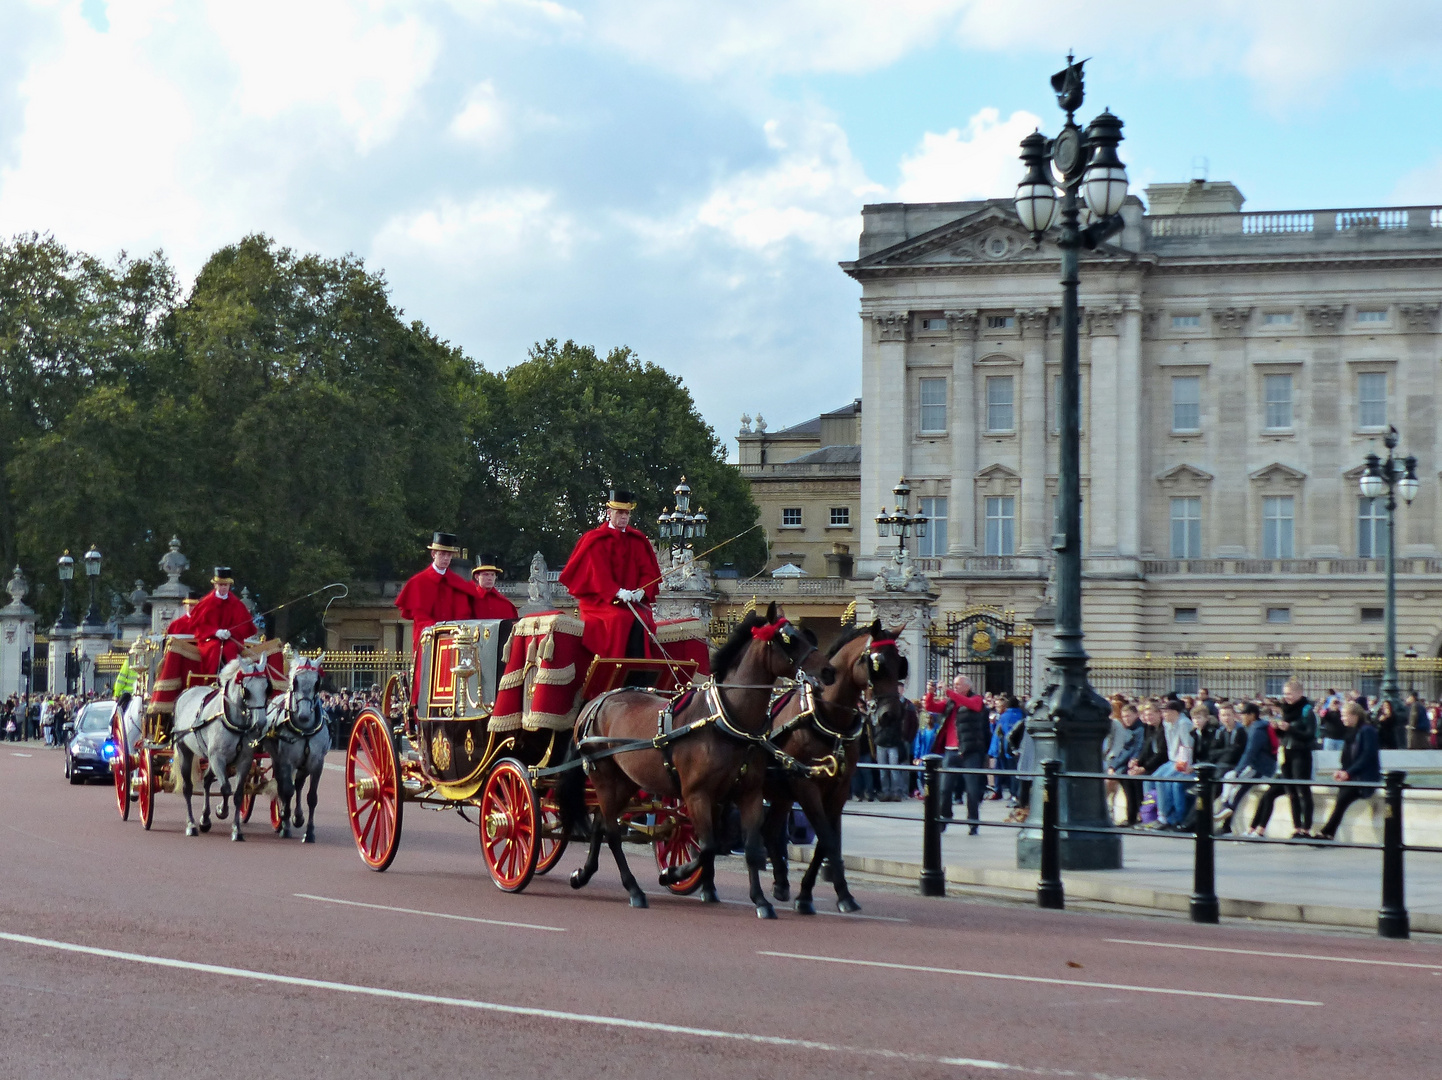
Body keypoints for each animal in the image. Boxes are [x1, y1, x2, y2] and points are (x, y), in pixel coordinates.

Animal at [172, 651, 272, 836]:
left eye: (267, 688)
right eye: (247, 690)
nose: (260, 723)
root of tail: (188, 690)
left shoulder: (244, 760)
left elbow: (238, 793)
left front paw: (236, 829)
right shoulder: (218, 758)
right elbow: (225, 788)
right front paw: (221, 811)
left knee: (206, 780)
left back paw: (205, 819)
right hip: (185, 751)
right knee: (188, 788)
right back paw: (191, 825)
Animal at [261, 657, 328, 842]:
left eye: (317, 683)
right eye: (295, 682)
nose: (304, 715)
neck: (304, 729)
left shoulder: (317, 763)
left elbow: (311, 797)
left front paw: (309, 832)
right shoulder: (286, 761)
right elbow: (287, 790)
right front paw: (285, 824)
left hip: (303, 765)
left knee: (298, 784)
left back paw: (297, 817)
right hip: (277, 759)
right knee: (283, 786)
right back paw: (284, 816)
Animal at [562, 602, 836, 917]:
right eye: (788, 639)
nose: (829, 671)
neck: (727, 721)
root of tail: (595, 702)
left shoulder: (748, 794)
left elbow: (750, 849)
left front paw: (761, 900)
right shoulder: (697, 795)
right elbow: (707, 846)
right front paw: (672, 873)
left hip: (625, 782)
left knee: (601, 825)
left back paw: (583, 875)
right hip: (605, 778)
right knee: (612, 833)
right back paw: (634, 889)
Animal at [761, 620, 905, 917]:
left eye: (900, 664)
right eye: (877, 664)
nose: (891, 716)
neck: (828, 720)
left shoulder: (838, 789)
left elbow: (828, 842)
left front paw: (810, 894)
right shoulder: (806, 786)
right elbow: (827, 838)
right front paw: (841, 893)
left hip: (780, 794)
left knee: (769, 830)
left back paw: (780, 882)